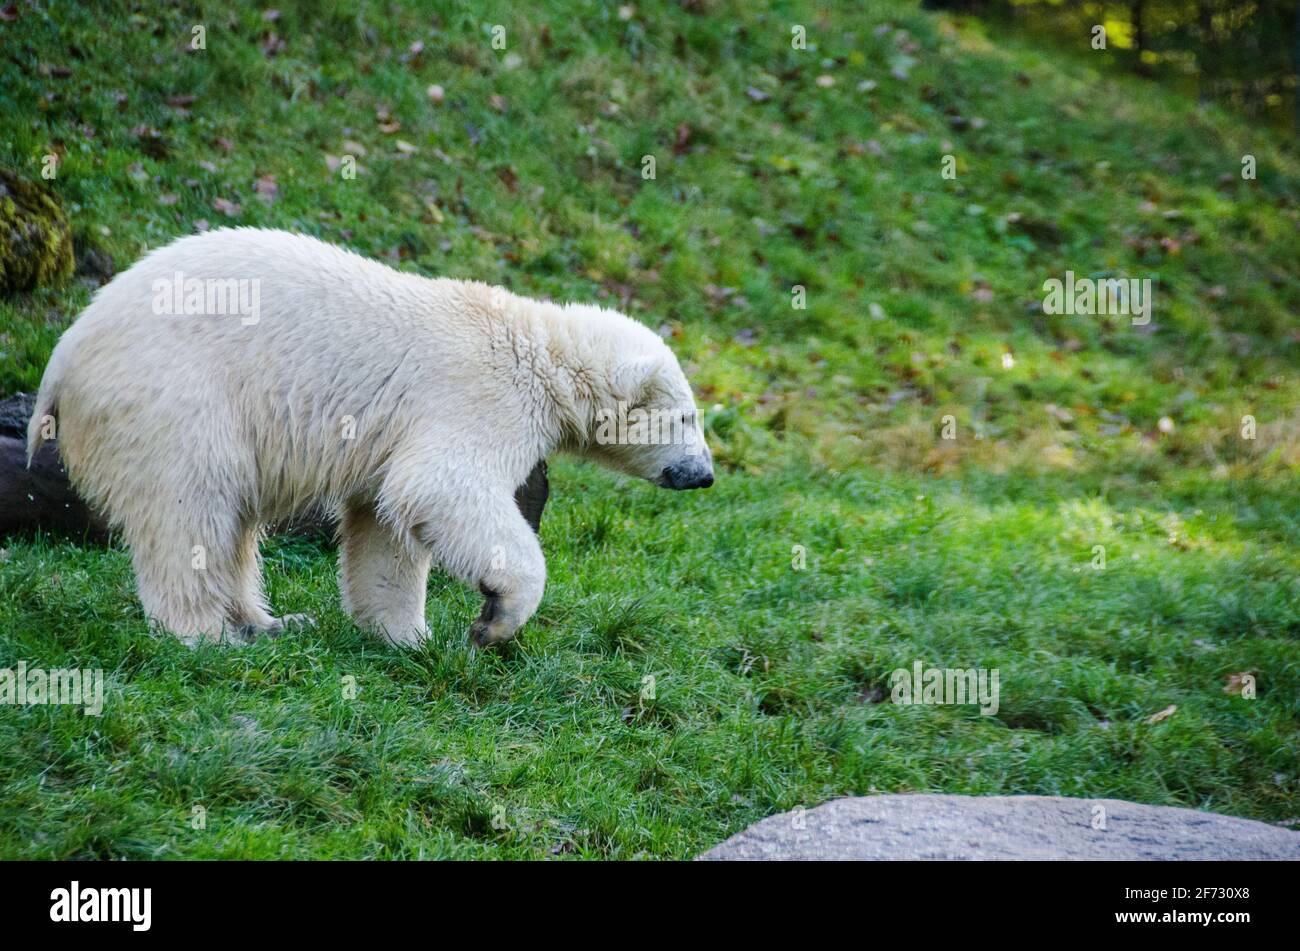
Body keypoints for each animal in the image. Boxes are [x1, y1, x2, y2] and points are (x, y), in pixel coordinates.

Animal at [27, 226, 712, 649]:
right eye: (687, 418)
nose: (704, 474)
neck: (537, 347)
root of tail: (65, 353)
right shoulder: (475, 396)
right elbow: (442, 486)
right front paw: (493, 620)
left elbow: (385, 524)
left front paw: (407, 635)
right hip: (174, 397)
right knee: (190, 506)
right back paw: (207, 635)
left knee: (231, 520)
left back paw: (272, 621)